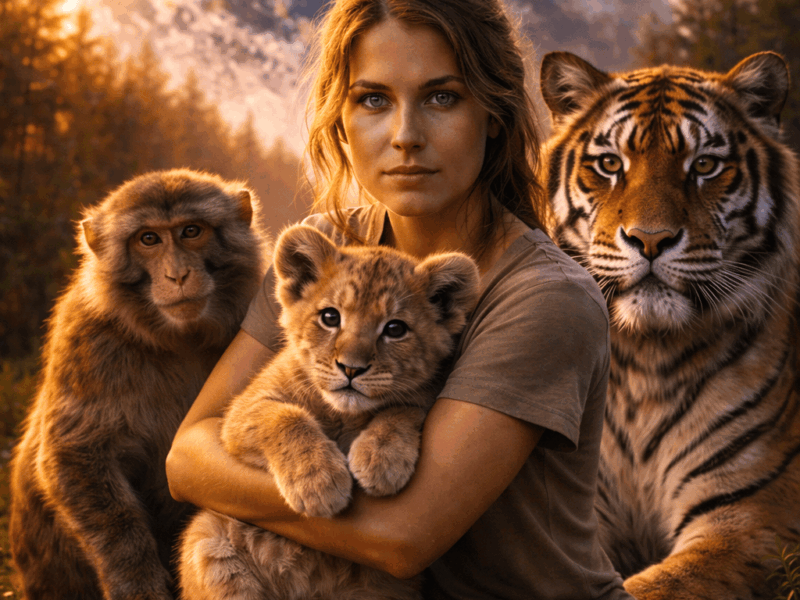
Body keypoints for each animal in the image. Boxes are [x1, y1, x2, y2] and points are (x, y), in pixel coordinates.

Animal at [8, 169, 268, 600]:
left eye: (191, 231)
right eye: (149, 239)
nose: (177, 275)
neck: (178, 337)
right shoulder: (86, 339)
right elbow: (74, 455)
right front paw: (136, 579)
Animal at [177, 223, 480, 600]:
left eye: (395, 329)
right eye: (330, 317)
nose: (351, 368)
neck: (343, 415)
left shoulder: (423, 397)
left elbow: (403, 408)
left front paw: (382, 460)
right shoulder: (242, 410)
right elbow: (287, 418)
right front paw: (319, 482)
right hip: (210, 539)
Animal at [539, 50, 800, 600]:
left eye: (704, 165)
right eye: (610, 164)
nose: (651, 239)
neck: (644, 359)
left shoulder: (753, 512)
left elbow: (666, 585)